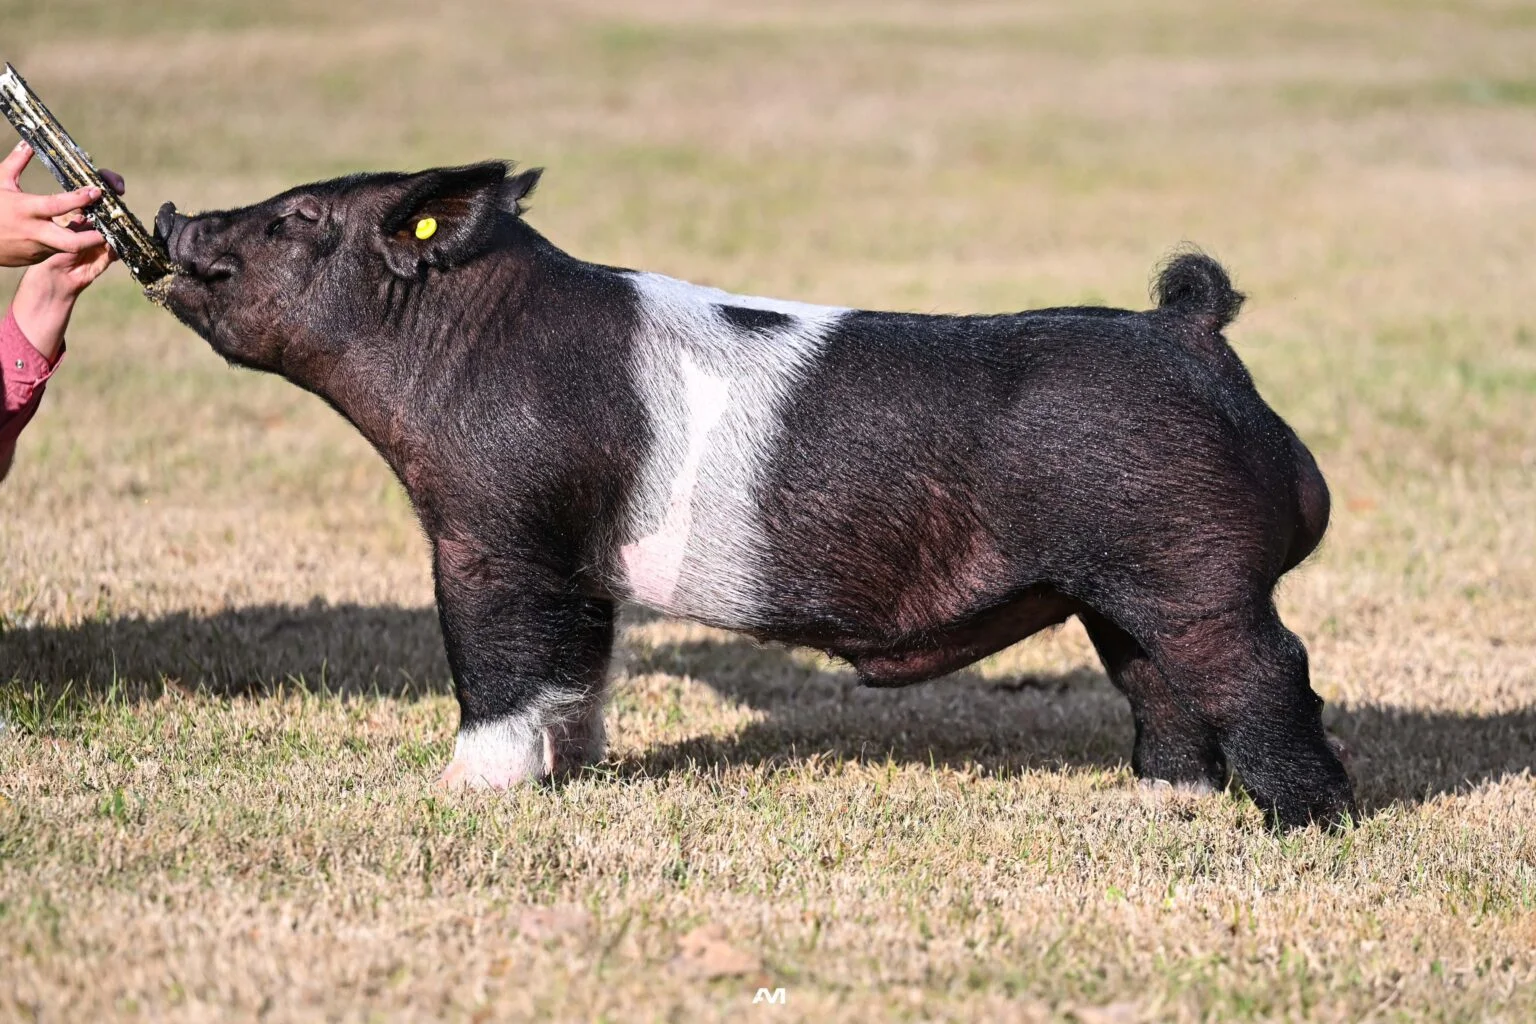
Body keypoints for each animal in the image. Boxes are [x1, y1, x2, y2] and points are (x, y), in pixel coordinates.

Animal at [154, 161, 1353, 829]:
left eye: (300, 219)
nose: (172, 216)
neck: (458, 344)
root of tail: (1189, 329)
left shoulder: (495, 535)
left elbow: (495, 664)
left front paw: (462, 794)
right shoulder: (581, 567)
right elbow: (574, 671)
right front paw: (570, 774)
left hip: (1193, 573)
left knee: (1267, 671)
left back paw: (1300, 827)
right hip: (1122, 591)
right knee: (1162, 687)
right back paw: (1163, 809)